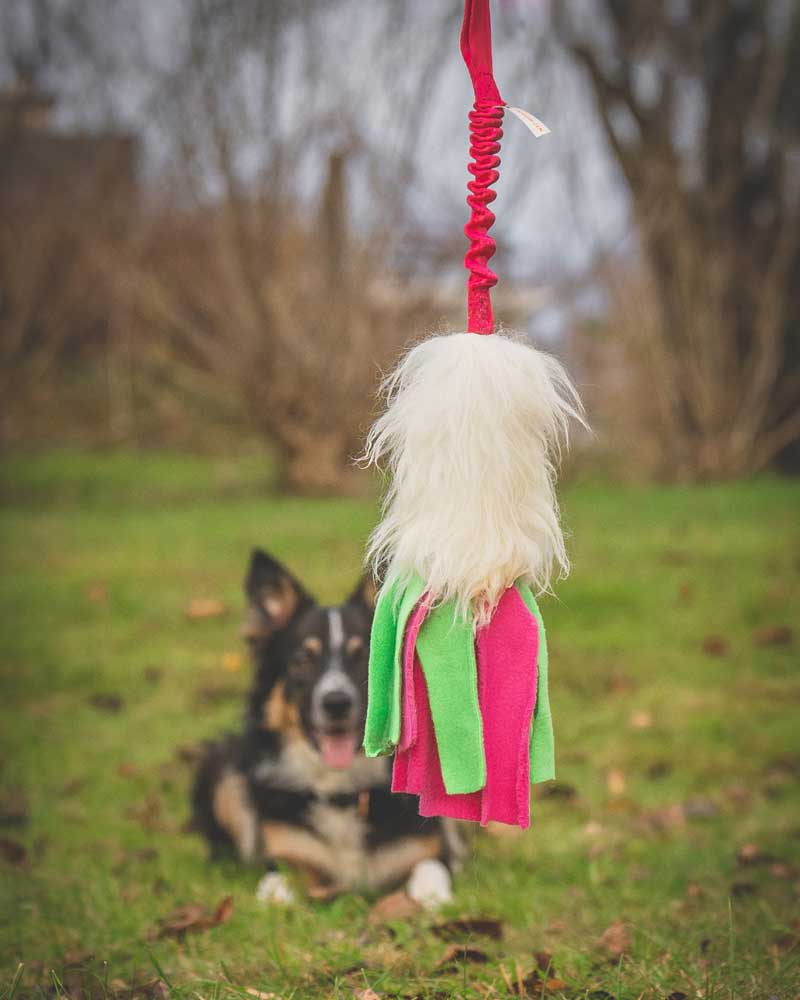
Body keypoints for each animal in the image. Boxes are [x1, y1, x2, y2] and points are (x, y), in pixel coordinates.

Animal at [192, 552, 468, 912]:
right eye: (302, 660)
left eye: (365, 657)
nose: (336, 702)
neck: (342, 792)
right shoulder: (286, 853)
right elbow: (278, 881)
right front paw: (276, 895)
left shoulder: (427, 849)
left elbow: (432, 871)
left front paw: (433, 898)